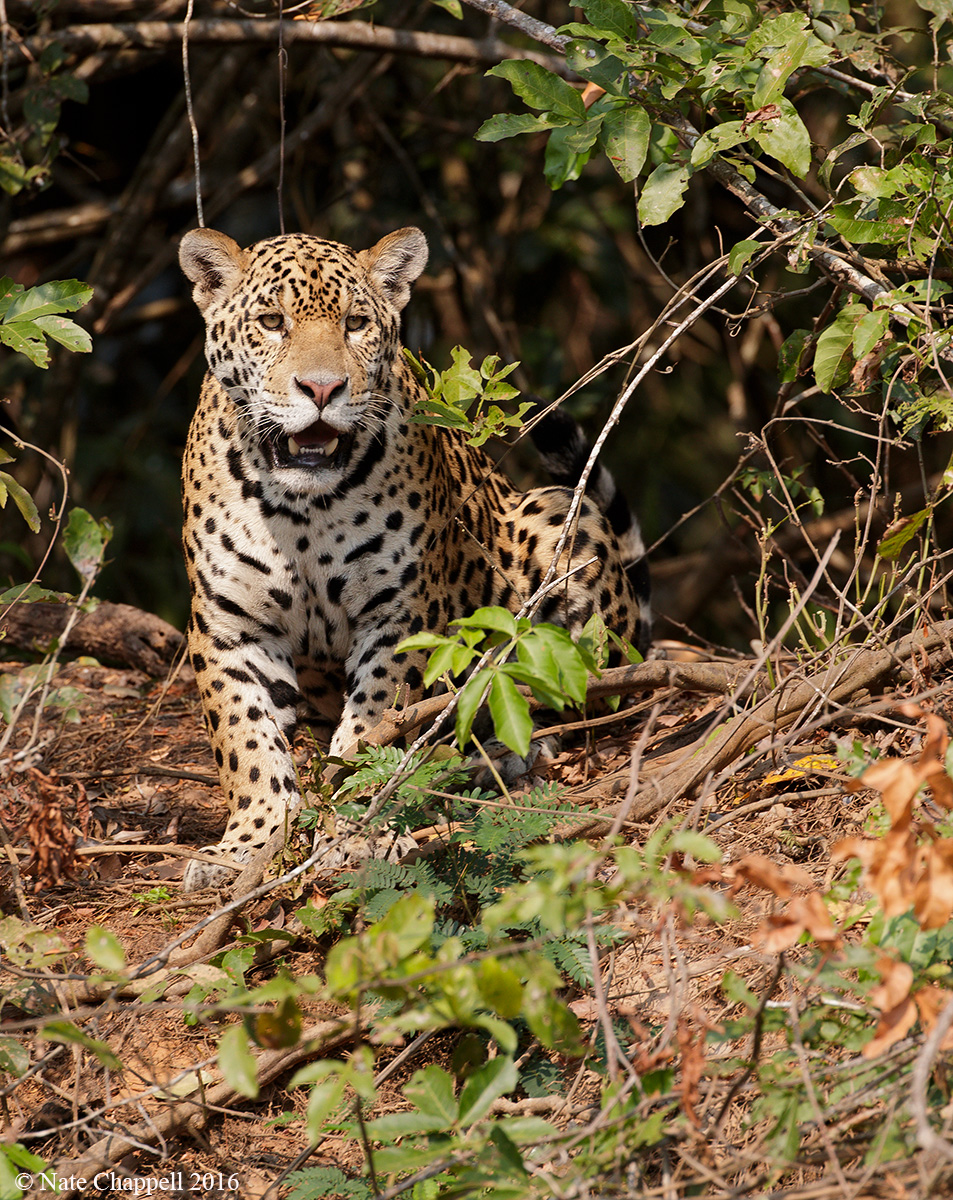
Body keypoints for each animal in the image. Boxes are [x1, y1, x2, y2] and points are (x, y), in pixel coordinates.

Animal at [177, 224, 651, 891]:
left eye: (354, 323)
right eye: (272, 322)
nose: (321, 389)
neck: (301, 512)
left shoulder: (399, 618)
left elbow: (375, 728)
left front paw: (357, 828)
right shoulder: (228, 626)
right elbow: (246, 744)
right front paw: (247, 844)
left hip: (562, 519)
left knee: (587, 702)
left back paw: (500, 756)